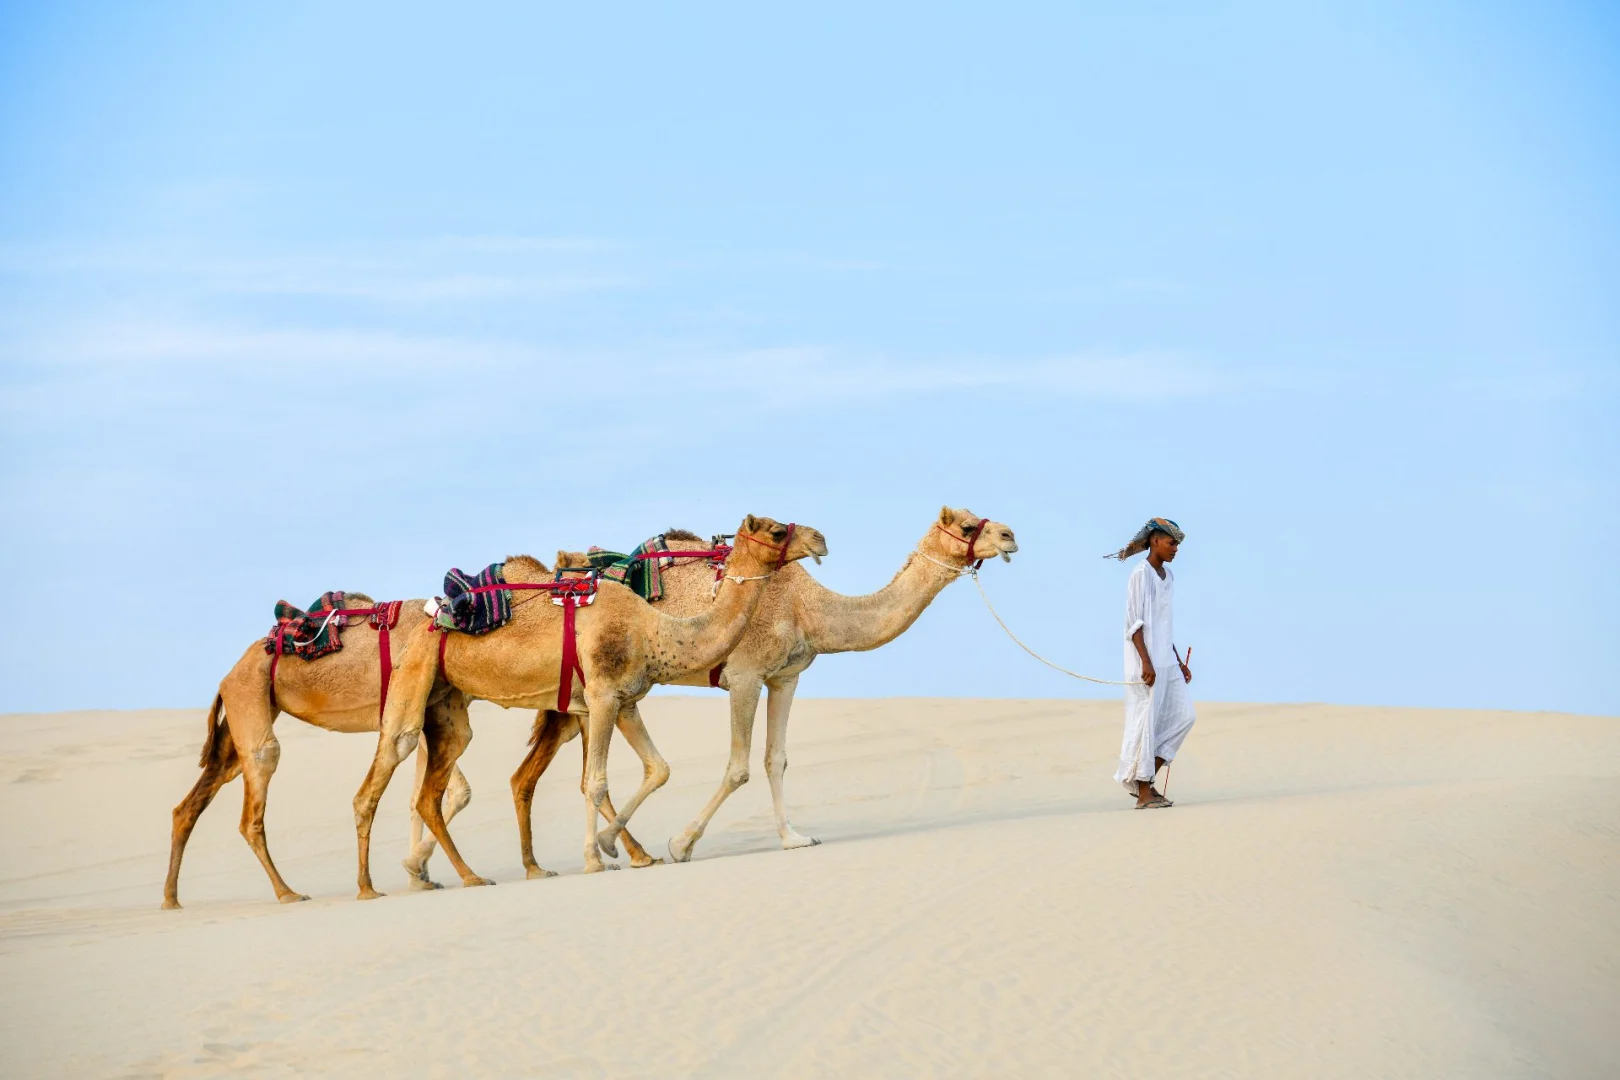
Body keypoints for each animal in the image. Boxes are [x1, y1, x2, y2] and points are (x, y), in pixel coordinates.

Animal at [162, 593, 470, 909]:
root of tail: (228, 676)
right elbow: (456, 792)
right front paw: (416, 870)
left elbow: (427, 796)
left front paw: (419, 875)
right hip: (249, 697)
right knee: (259, 779)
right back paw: (288, 892)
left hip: (242, 720)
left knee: (194, 800)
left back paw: (171, 899)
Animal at [352, 514, 828, 898]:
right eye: (777, 530)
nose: (820, 538)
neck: (653, 628)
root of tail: (433, 615)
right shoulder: (601, 694)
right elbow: (594, 782)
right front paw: (596, 857)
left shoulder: (624, 698)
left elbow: (647, 770)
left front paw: (617, 848)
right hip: (415, 673)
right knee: (387, 763)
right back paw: (370, 888)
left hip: (446, 702)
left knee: (431, 790)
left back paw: (467, 875)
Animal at [512, 506, 1017, 867]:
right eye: (969, 524)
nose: (1010, 534)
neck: (808, 608)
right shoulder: (745, 675)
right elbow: (739, 767)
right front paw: (682, 843)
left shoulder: (785, 676)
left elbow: (777, 759)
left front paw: (794, 837)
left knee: (540, 772)